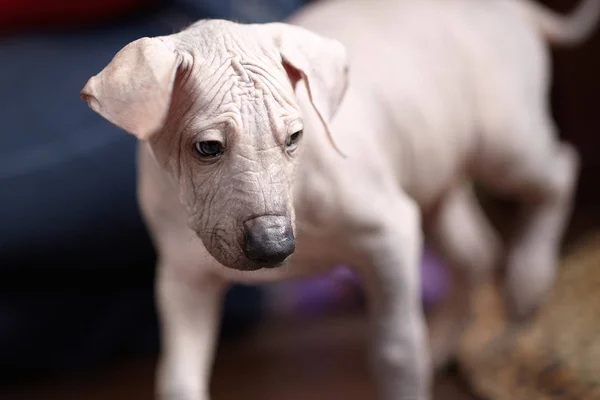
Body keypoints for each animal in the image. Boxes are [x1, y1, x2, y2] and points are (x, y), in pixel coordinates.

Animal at [81, 1, 600, 398]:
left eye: (295, 138)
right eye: (207, 148)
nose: (274, 247)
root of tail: (514, 9)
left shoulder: (390, 230)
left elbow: (396, 351)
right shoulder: (183, 275)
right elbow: (178, 378)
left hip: (503, 142)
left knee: (561, 169)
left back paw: (528, 280)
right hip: (432, 171)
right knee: (475, 253)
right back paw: (445, 340)